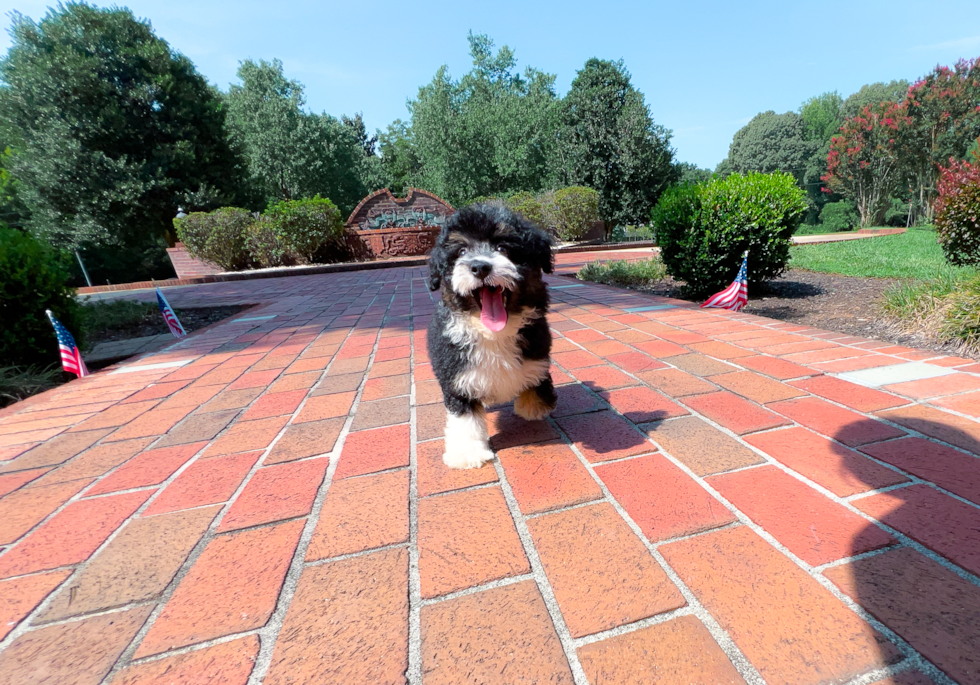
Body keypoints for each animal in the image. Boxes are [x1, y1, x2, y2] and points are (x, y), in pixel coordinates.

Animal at [424, 203, 556, 468]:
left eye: (502, 247)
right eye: (462, 251)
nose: (480, 267)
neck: (494, 335)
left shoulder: (538, 350)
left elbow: (536, 378)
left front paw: (534, 407)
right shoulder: (456, 375)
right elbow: (464, 416)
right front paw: (468, 452)